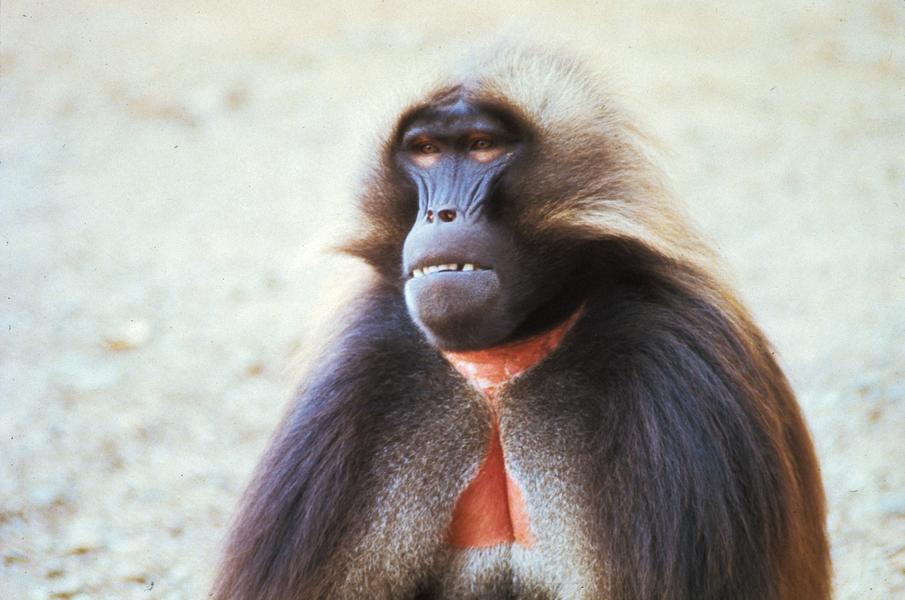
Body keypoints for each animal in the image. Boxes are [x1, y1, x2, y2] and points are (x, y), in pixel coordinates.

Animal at [213, 47, 830, 600]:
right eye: (426, 151)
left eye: (483, 147)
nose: (441, 214)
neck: (499, 365)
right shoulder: (363, 372)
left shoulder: (676, 377)